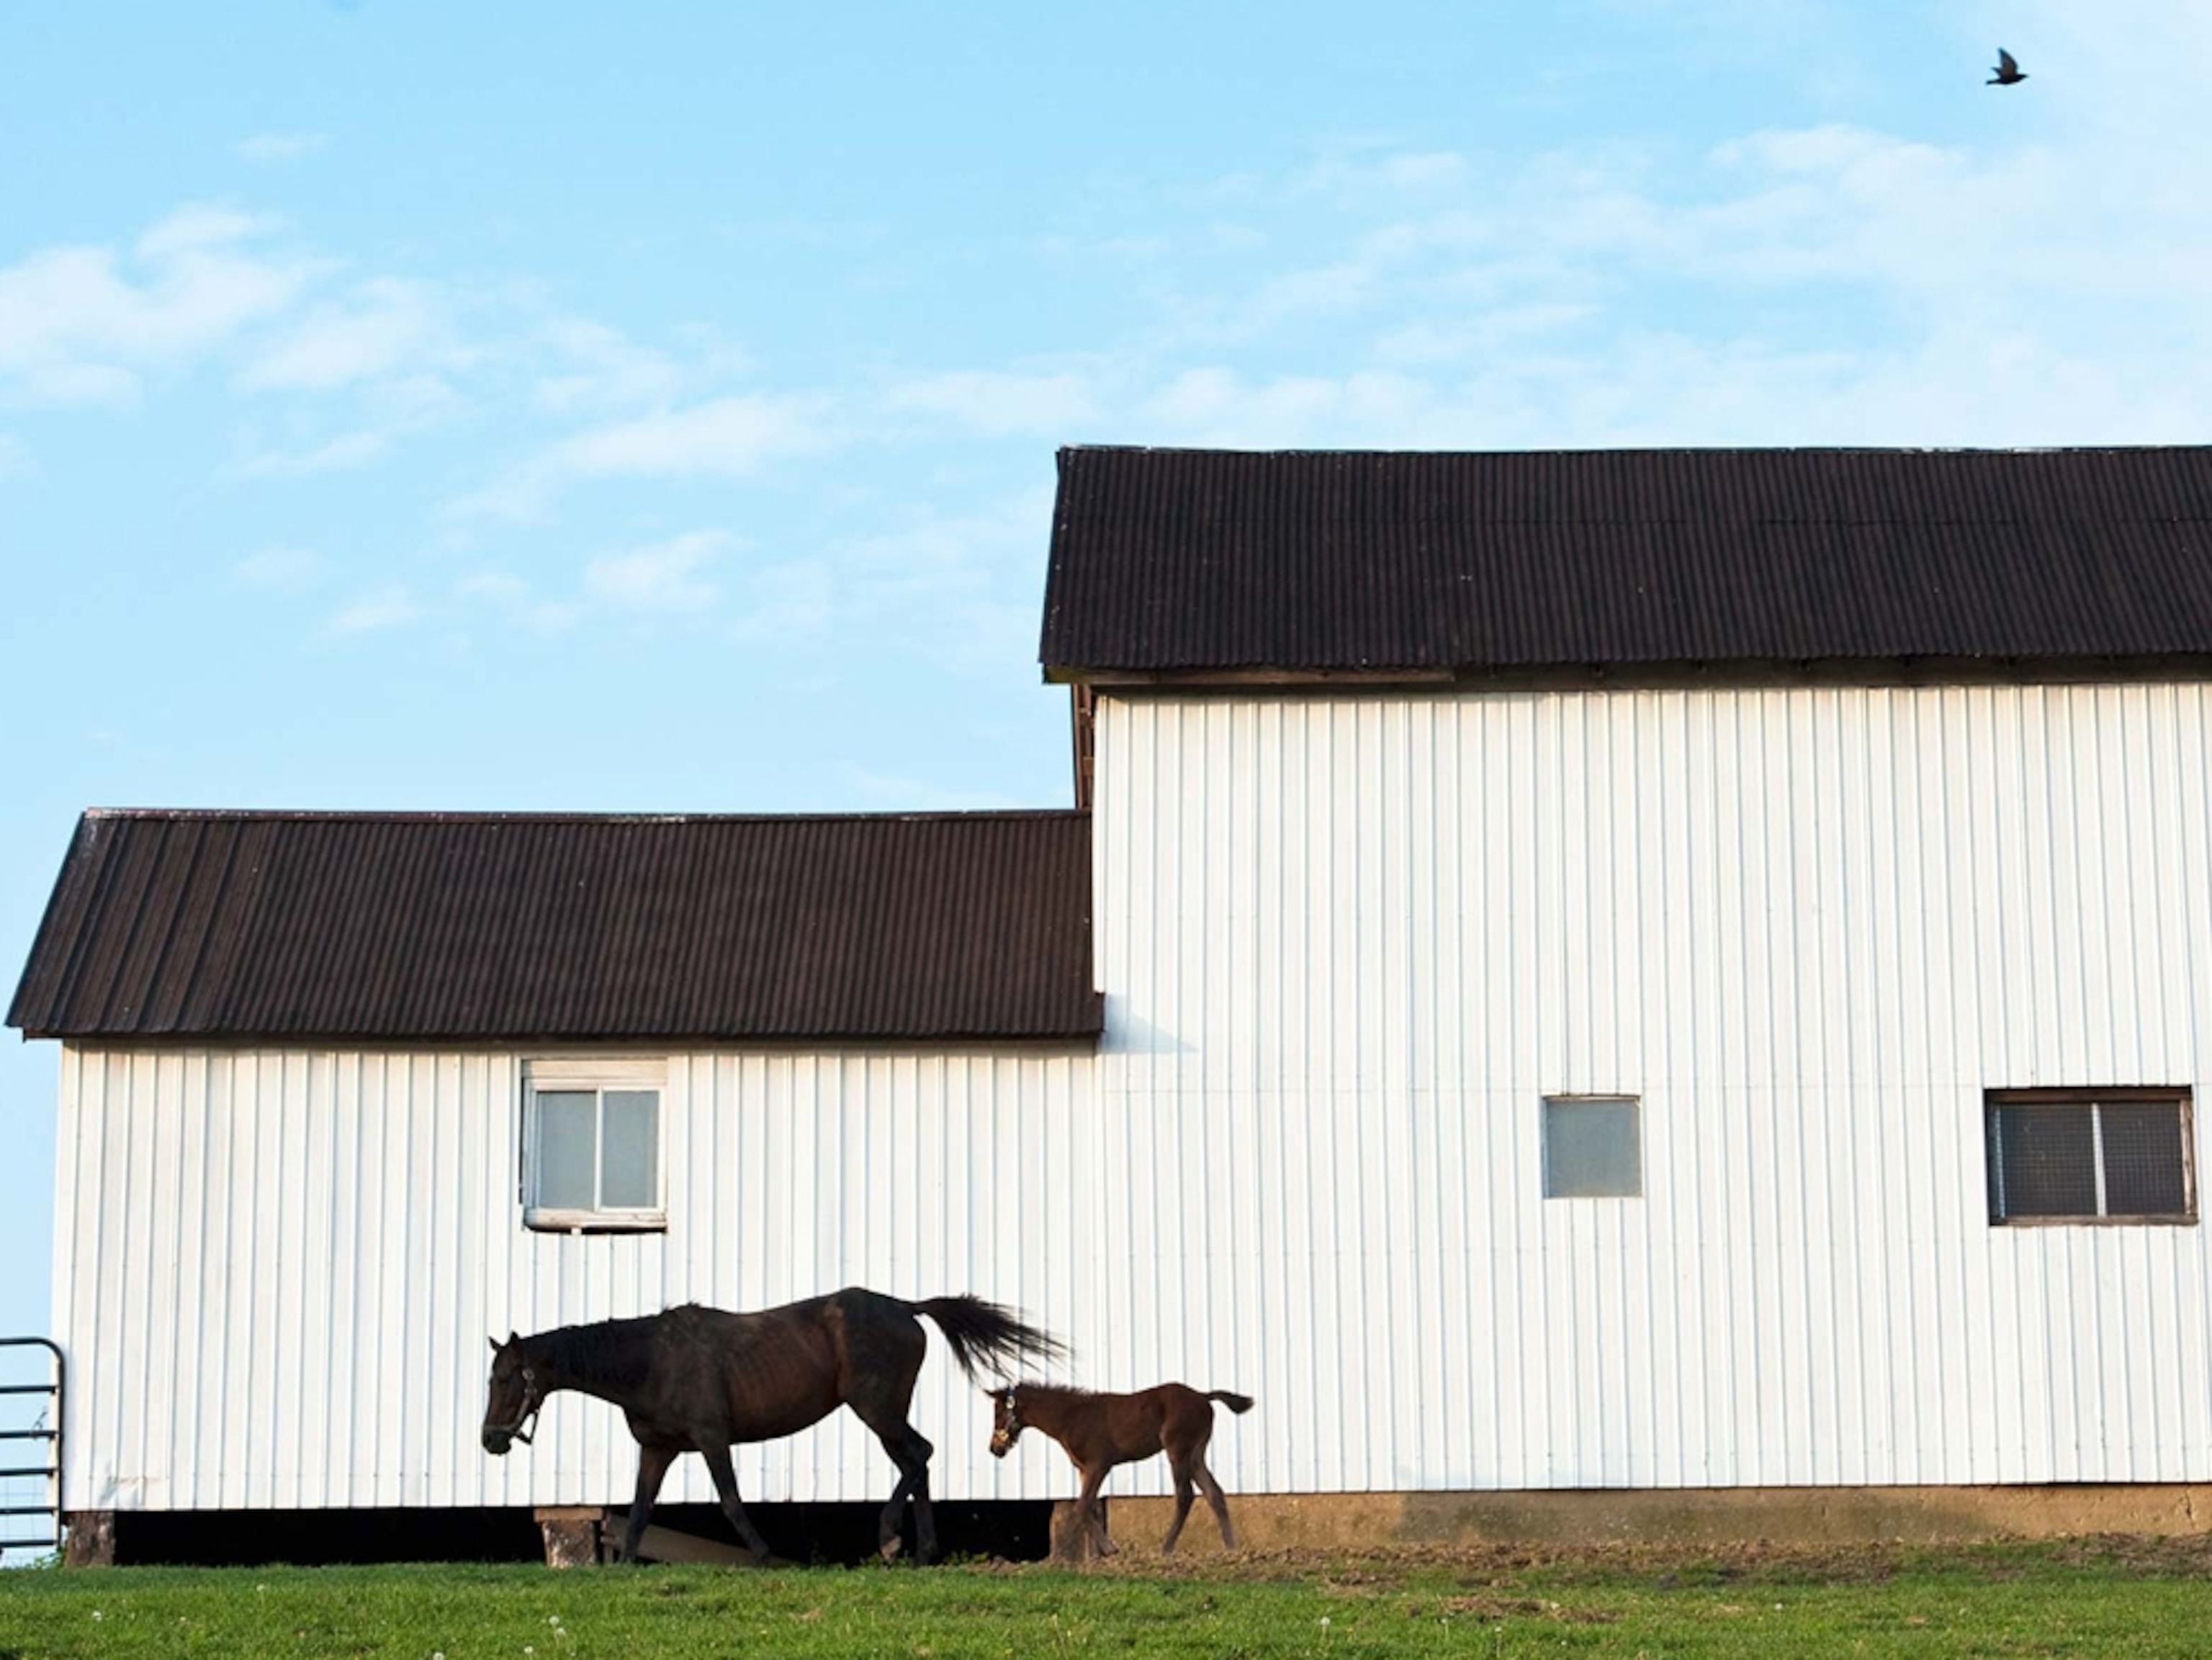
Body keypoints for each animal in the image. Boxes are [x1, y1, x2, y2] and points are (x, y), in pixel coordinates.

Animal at [482, 1287, 1065, 1566]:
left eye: (508, 1378)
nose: (489, 1440)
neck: (652, 1361)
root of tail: (905, 1307)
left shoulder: (712, 1440)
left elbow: (731, 1500)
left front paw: (763, 1555)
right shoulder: (658, 1450)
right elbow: (642, 1510)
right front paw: (624, 1565)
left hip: (877, 1410)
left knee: (918, 1457)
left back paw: (892, 1540)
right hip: (883, 1414)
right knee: (918, 1461)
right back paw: (919, 1550)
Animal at [988, 1380, 1253, 1557]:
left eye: (999, 1413)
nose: (994, 1449)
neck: (1072, 1417)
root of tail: (1203, 1396)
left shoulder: (1098, 1465)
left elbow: (1083, 1505)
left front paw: (1110, 1549)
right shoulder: (1084, 1469)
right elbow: (1089, 1507)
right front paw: (1104, 1551)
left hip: (1178, 1450)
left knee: (1185, 1495)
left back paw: (1167, 1548)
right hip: (1196, 1453)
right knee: (1214, 1492)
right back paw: (1232, 1548)